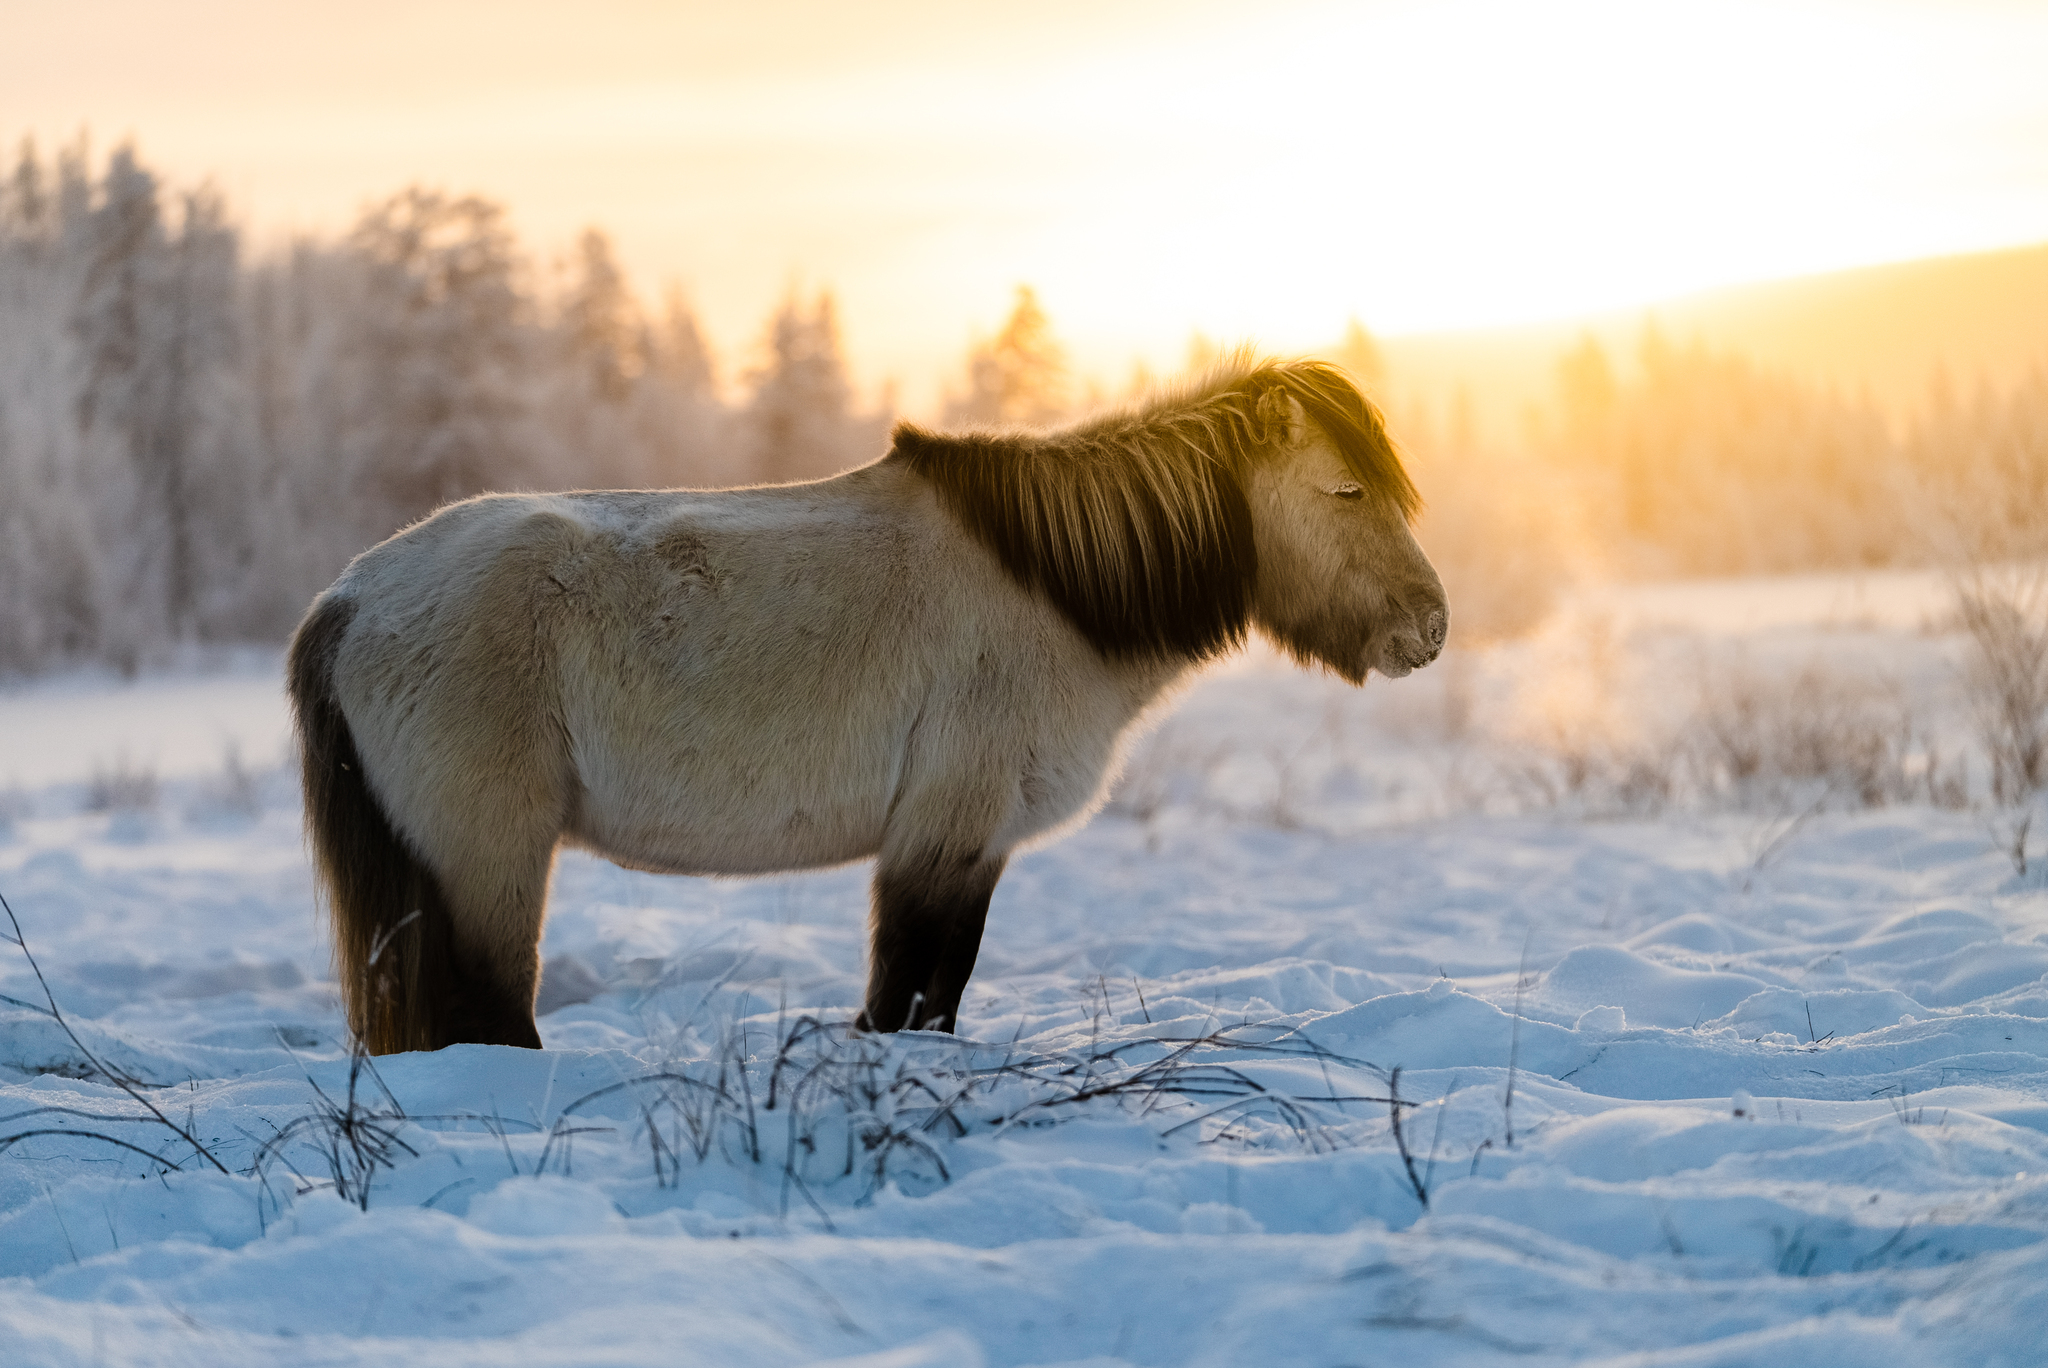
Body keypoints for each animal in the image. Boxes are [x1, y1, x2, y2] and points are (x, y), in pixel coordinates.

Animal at [288, 350, 1449, 1048]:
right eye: (1346, 488)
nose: (1429, 627)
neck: (1046, 592)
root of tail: (351, 595)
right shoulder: (939, 830)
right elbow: (904, 989)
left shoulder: (978, 845)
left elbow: (942, 988)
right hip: (489, 851)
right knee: (492, 1004)